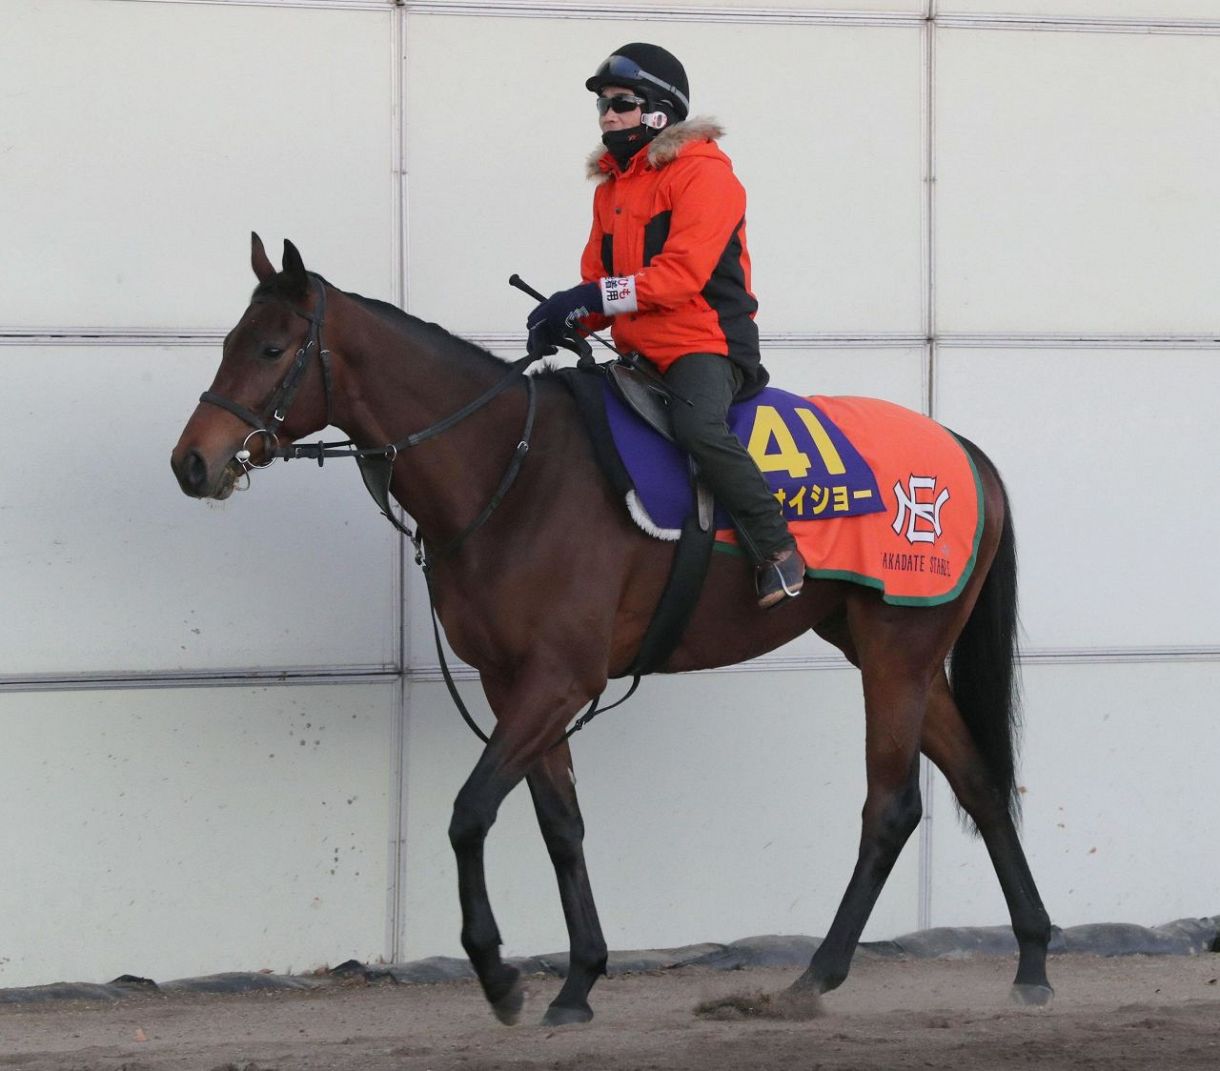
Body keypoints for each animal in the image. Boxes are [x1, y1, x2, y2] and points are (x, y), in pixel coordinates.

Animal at [174, 236, 1058, 1029]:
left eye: (272, 346)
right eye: (227, 342)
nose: (192, 462)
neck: (514, 468)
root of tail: (966, 452)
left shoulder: (561, 678)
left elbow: (469, 811)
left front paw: (498, 972)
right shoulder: (514, 681)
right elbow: (559, 825)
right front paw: (578, 980)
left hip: (896, 652)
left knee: (891, 806)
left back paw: (815, 975)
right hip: (897, 650)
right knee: (979, 781)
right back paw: (1033, 959)